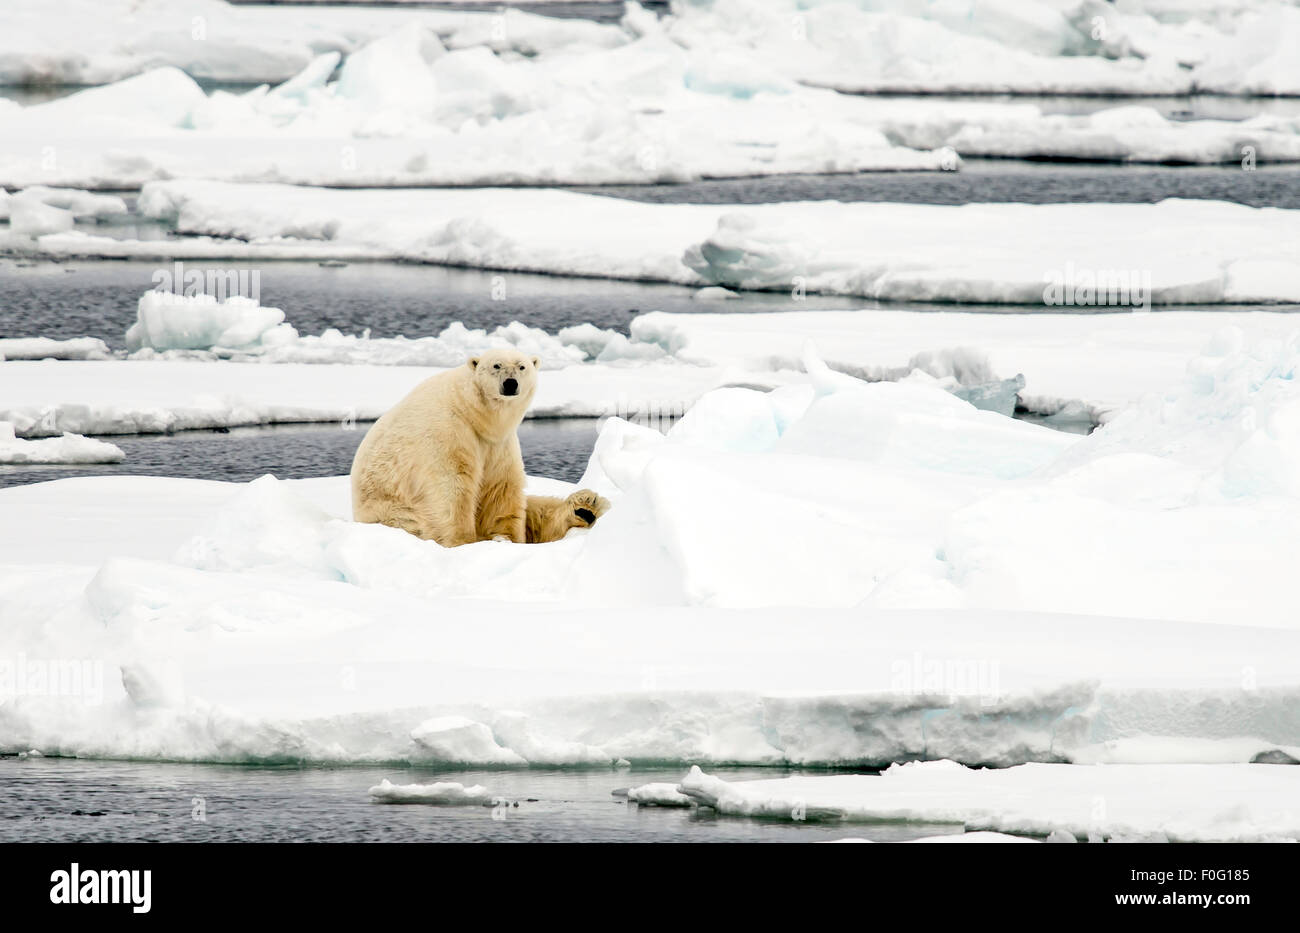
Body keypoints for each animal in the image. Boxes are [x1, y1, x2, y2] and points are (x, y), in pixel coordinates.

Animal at [345, 353, 608, 550]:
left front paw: (506, 538)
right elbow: (452, 487)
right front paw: (465, 541)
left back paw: (585, 506)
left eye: (522, 366)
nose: (510, 383)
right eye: (496, 365)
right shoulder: (448, 431)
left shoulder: (497, 443)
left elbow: (500, 486)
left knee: (536, 506)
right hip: (393, 512)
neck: (472, 411)